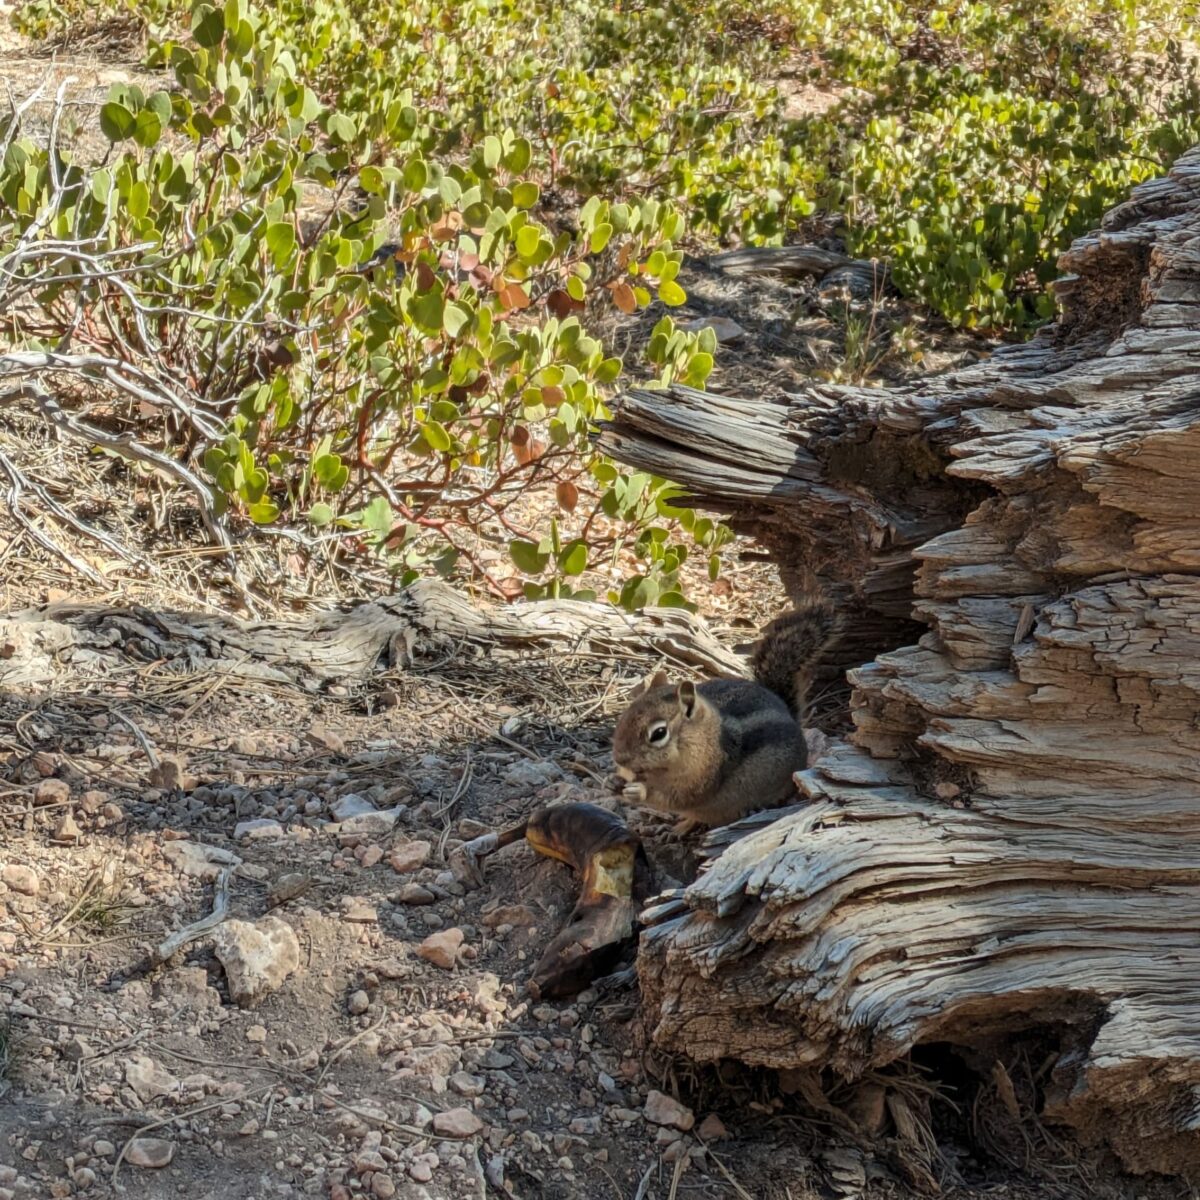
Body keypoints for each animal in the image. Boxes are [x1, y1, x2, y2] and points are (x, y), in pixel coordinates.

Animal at [611, 601, 838, 831]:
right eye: (624, 718)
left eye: (658, 733)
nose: (620, 759)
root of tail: (786, 710)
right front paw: (614, 782)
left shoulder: (699, 780)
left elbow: (676, 798)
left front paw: (638, 792)